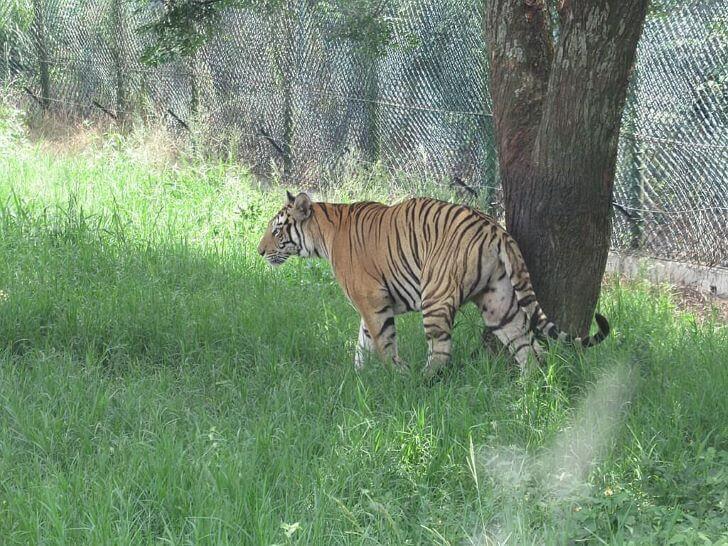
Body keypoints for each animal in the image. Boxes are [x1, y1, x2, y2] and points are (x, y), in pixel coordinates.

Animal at [256, 190, 608, 374]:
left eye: (276, 230)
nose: (259, 251)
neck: (324, 233)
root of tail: (496, 229)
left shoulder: (372, 300)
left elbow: (382, 342)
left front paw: (394, 376)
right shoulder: (371, 305)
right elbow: (363, 342)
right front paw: (357, 377)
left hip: (435, 297)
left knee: (441, 352)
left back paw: (422, 382)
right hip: (499, 302)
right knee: (527, 347)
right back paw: (530, 390)